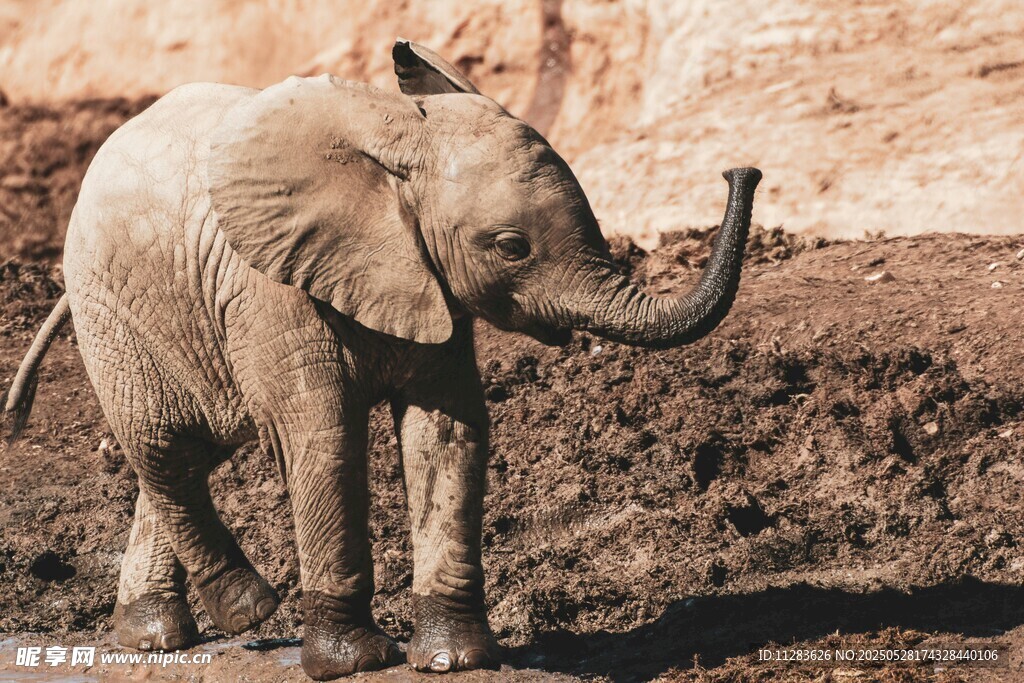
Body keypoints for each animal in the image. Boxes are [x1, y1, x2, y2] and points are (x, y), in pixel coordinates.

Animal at [1, 40, 760, 679]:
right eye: (511, 247)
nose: (742, 169)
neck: (397, 142)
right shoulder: (274, 289)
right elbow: (325, 440)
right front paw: (354, 662)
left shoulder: (428, 287)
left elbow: (448, 433)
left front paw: (455, 660)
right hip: (112, 309)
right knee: (165, 448)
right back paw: (246, 609)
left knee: (185, 455)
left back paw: (154, 636)